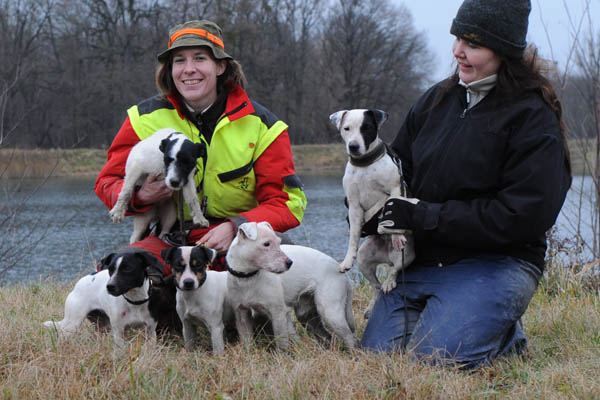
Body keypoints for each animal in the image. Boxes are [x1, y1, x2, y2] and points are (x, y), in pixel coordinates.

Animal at [328, 109, 418, 318]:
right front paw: (346, 260)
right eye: (346, 128)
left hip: (406, 256)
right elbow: (353, 236)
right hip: (364, 260)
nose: (353, 146)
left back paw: (389, 281)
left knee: (394, 272)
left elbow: (390, 206)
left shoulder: (394, 189)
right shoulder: (353, 206)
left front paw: (395, 233)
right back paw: (371, 307)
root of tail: (387, 257)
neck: (365, 166)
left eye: (366, 127)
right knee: (375, 286)